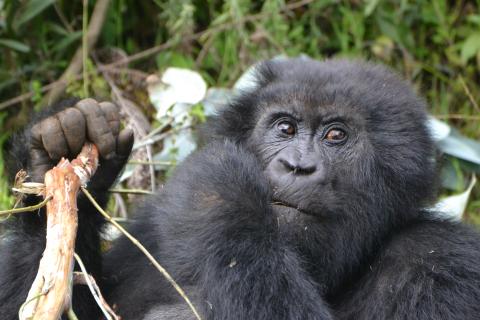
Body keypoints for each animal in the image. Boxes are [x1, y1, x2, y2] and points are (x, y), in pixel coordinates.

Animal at [0, 58, 480, 320]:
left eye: (336, 136)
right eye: (285, 128)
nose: (296, 166)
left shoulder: (440, 261)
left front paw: (222, 191)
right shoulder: (151, 229)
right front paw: (62, 149)